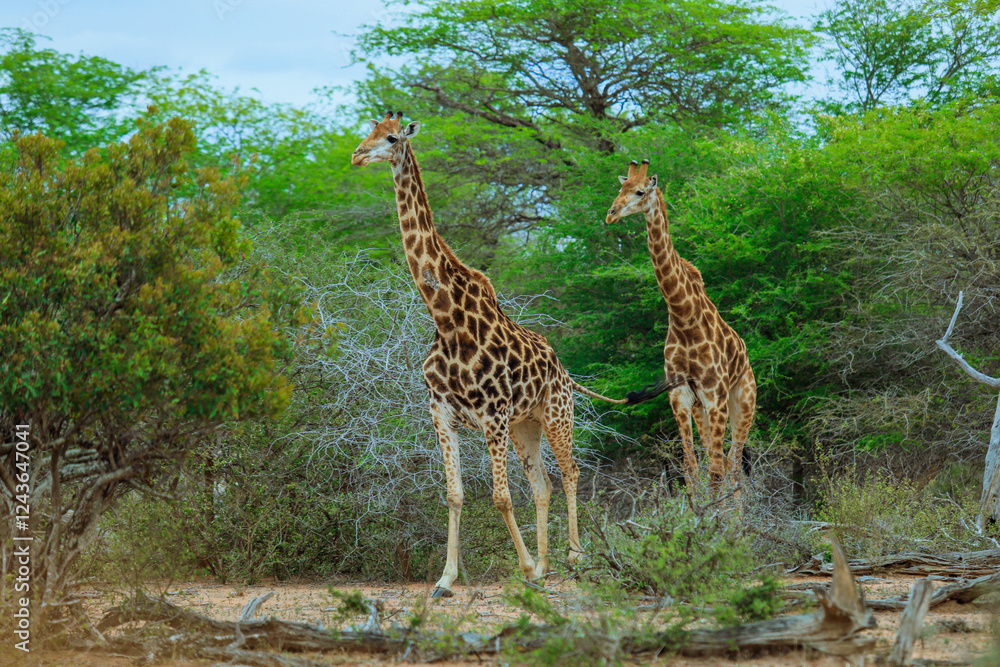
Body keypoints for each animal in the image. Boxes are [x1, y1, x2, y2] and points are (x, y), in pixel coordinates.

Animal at [351, 113, 670, 597]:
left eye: (390, 137)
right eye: (366, 132)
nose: (356, 156)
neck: (447, 321)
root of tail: (564, 370)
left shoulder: (493, 414)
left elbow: (500, 497)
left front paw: (523, 568)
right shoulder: (442, 412)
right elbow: (455, 494)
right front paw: (446, 579)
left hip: (556, 413)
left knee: (571, 472)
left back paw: (573, 558)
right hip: (527, 425)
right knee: (542, 484)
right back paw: (546, 564)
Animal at [605, 159, 757, 497]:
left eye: (639, 191)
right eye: (619, 188)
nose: (611, 214)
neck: (684, 317)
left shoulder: (716, 396)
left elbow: (715, 473)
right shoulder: (681, 397)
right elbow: (691, 469)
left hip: (743, 402)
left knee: (732, 467)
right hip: (703, 411)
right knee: (724, 464)